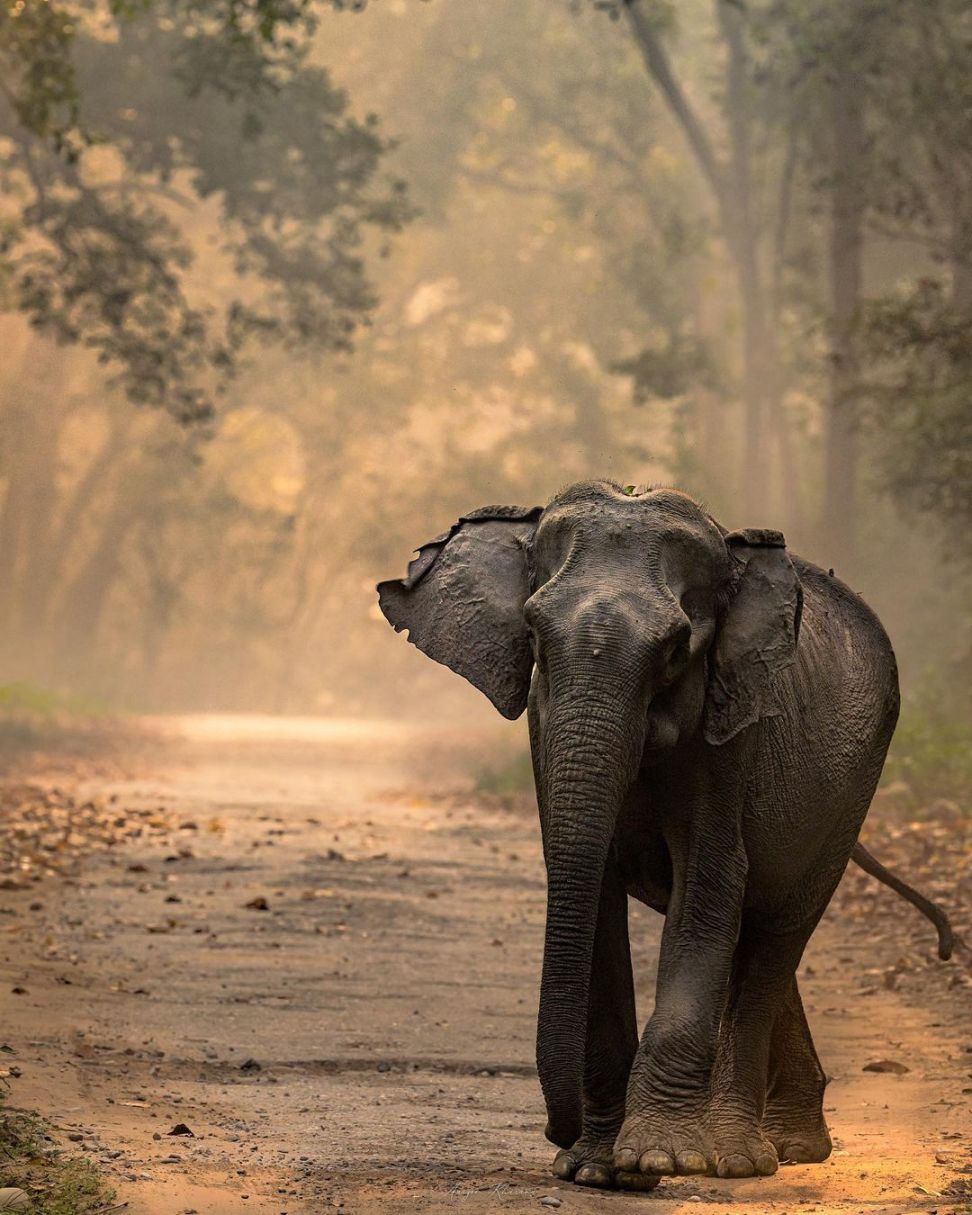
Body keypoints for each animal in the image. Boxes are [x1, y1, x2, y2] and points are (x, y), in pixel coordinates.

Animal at [376, 478, 947, 1190]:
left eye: (676, 648)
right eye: (532, 632)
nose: (556, 1131)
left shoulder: (730, 733)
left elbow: (710, 882)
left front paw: (656, 1161)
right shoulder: (542, 724)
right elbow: (592, 890)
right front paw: (596, 1169)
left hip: (852, 791)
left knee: (777, 932)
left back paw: (743, 1158)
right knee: (754, 933)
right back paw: (787, 1145)